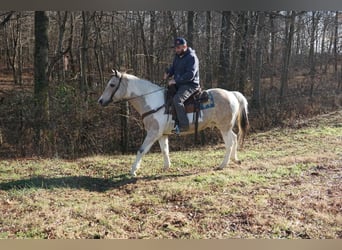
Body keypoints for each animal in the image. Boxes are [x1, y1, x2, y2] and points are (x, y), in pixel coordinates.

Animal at [98, 69, 248, 177]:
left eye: (112, 84)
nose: (100, 101)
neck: (153, 101)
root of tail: (232, 94)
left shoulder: (153, 133)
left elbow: (141, 150)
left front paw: (133, 170)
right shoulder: (162, 134)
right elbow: (165, 149)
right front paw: (166, 166)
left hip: (224, 127)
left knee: (229, 143)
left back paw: (222, 165)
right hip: (226, 127)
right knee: (235, 138)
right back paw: (235, 159)